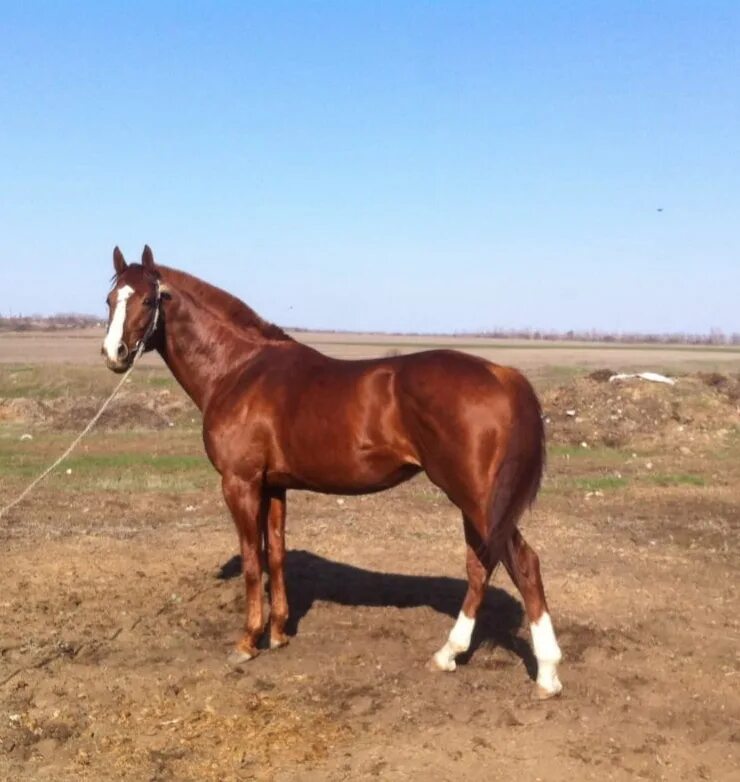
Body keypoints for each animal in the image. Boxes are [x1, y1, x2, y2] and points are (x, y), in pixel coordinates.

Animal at [102, 247, 560, 700]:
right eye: (109, 300)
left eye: (149, 300)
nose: (114, 353)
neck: (239, 370)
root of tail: (504, 375)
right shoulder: (274, 486)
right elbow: (276, 554)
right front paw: (279, 634)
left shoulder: (240, 483)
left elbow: (252, 560)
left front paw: (248, 641)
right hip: (476, 502)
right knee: (481, 566)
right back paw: (448, 655)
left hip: (477, 498)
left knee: (524, 564)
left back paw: (546, 674)